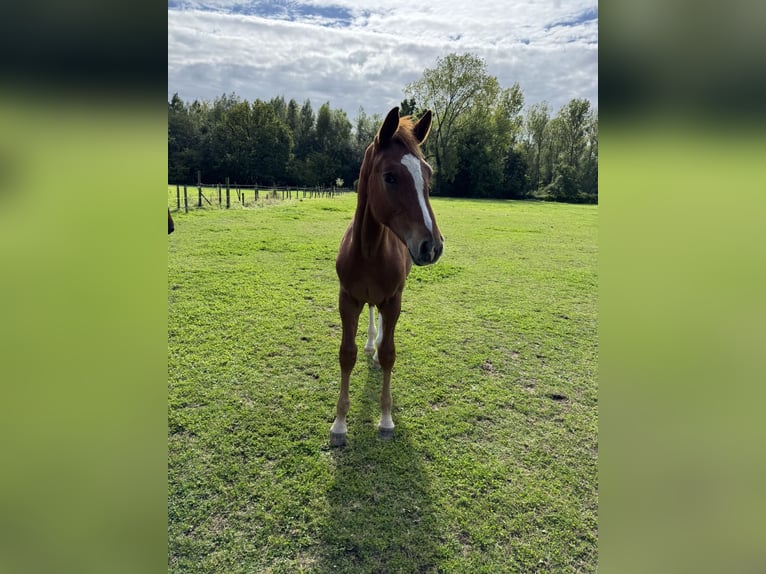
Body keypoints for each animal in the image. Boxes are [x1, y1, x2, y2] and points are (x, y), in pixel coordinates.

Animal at [330, 106, 444, 447]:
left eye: (428, 174)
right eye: (390, 176)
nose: (432, 246)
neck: (368, 250)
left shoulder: (394, 299)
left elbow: (391, 353)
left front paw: (385, 419)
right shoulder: (347, 299)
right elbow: (347, 354)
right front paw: (339, 424)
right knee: (371, 313)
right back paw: (371, 343)